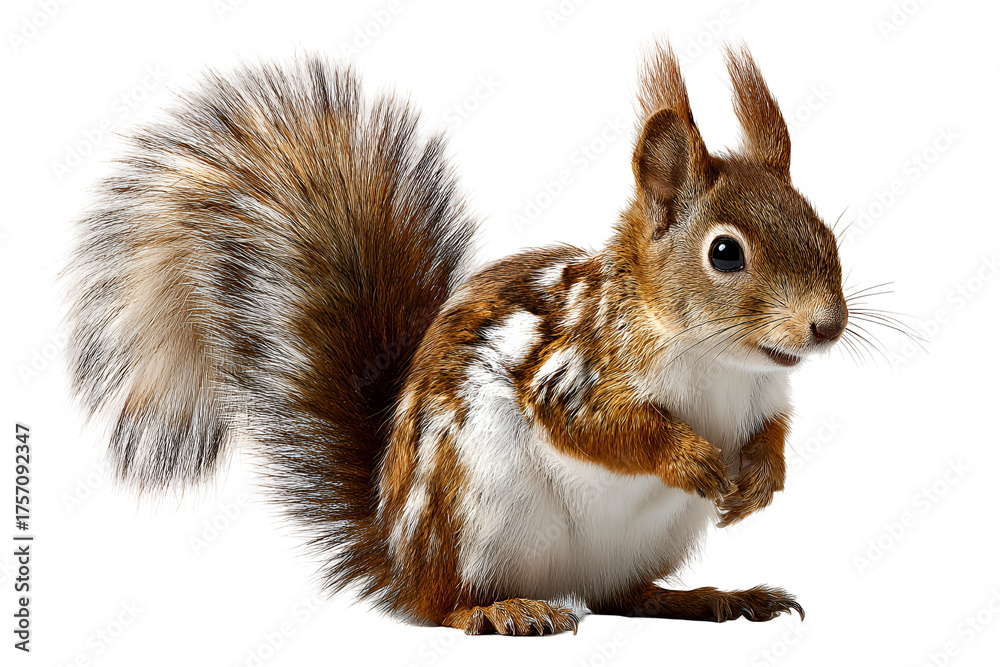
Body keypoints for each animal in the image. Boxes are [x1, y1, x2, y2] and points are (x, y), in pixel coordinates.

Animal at [65, 43, 848, 636]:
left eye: (823, 228)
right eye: (725, 253)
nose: (828, 325)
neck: (722, 364)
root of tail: (398, 551)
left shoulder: (763, 397)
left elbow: (772, 433)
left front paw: (761, 480)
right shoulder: (572, 372)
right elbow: (599, 428)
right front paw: (691, 457)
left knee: (621, 597)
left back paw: (711, 598)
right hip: (473, 507)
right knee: (443, 606)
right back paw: (501, 611)